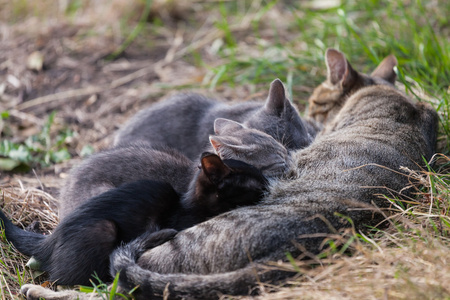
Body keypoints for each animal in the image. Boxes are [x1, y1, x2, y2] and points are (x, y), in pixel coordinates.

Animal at [0, 152, 268, 286]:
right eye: (255, 182)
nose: (269, 182)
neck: (189, 205)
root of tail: (51, 238)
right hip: (103, 229)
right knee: (64, 279)